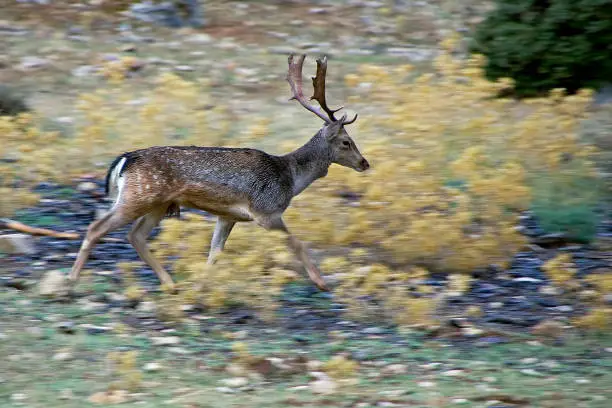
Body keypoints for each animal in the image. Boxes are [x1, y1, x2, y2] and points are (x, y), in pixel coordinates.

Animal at [69, 55, 370, 294]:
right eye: (346, 142)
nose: (365, 163)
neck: (290, 178)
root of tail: (124, 159)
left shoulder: (228, 216)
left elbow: (215, 253)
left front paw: (201, 286)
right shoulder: (266, 211)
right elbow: (296, 244)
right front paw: (322, 283)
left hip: (158, 204)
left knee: (136, 236)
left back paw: (170, 284)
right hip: (139, 196)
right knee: (97, 227)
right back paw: (71, 281)